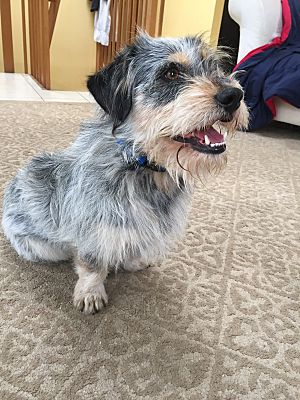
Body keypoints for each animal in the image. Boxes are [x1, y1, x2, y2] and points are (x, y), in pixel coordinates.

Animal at [1, 32, 248, 314]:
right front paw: (91, 292)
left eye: (215, 67)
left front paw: (133, 261)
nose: (235, 95)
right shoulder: (94, 229)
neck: (140, 164)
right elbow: (92, 265)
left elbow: (133, 244)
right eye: (170, 73)